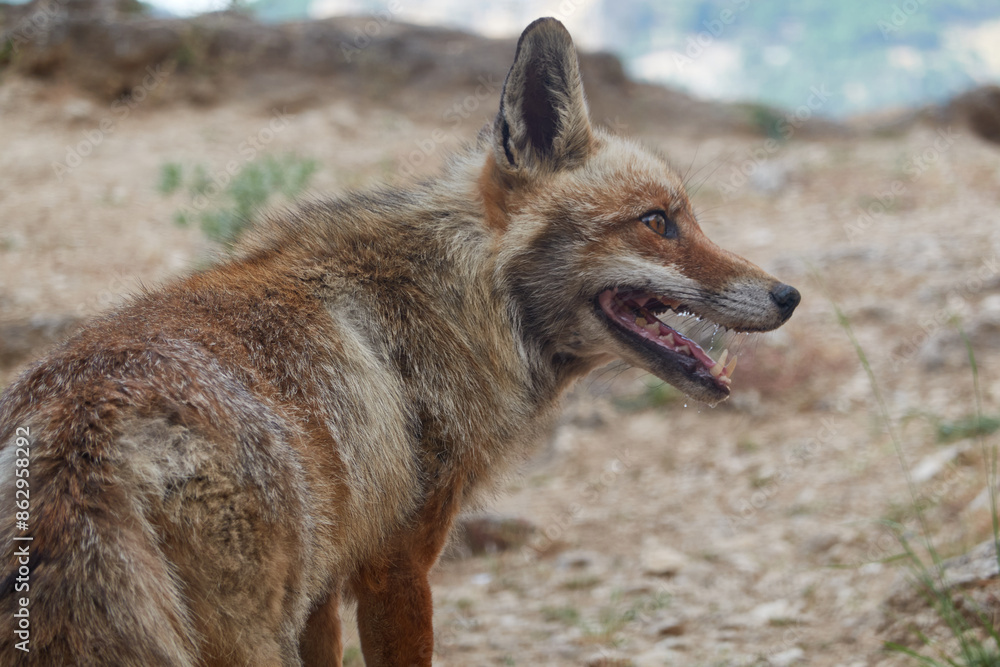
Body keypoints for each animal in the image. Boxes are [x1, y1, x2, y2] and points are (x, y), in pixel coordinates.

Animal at [0, 17, 799, 667]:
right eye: (659, 222)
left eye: (685, 218)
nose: (788, 296)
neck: (460, 295)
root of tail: (81, 432)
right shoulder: (399, 566)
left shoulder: (326, 584)